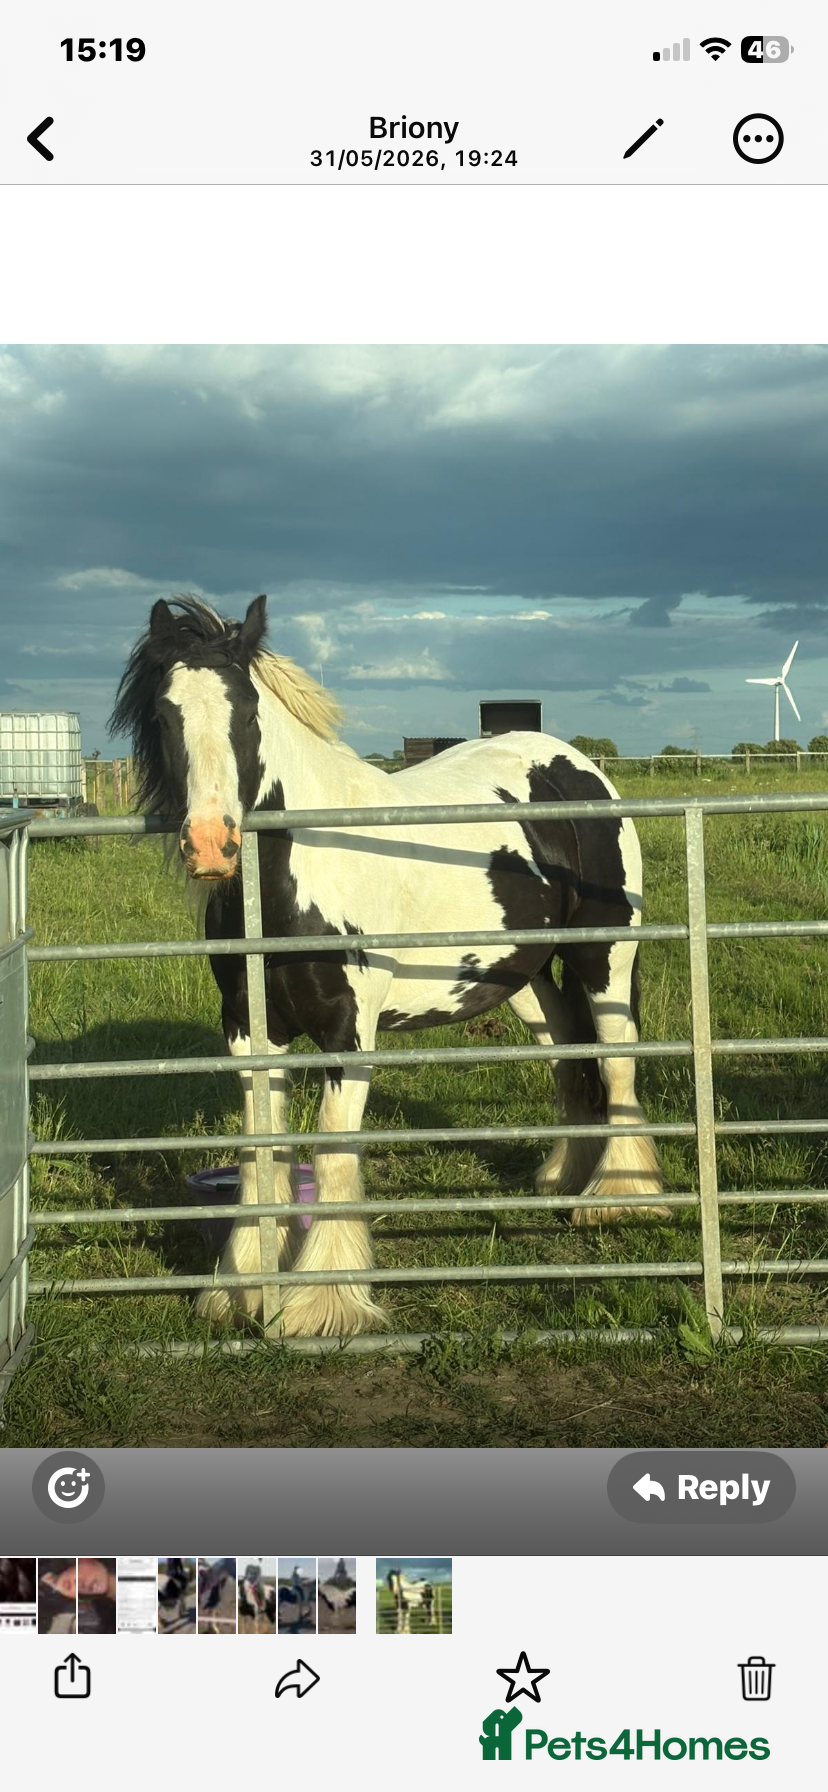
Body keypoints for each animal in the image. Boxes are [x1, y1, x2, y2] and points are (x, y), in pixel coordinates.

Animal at [110, 594, 665, 1338]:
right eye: (165, 715)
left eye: (246, 714)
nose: (209, 844)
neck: (303, 869)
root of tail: (578, 768)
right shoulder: (249, 1030)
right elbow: (261, 1152)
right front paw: (242, 1289)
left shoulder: (350, 1032)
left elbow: (332, 1153)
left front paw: (323, 1305)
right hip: (517, 976)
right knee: (568, 1057)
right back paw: (561, 1180)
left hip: (603, 955)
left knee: (617, 1061)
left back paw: (619, 1198)